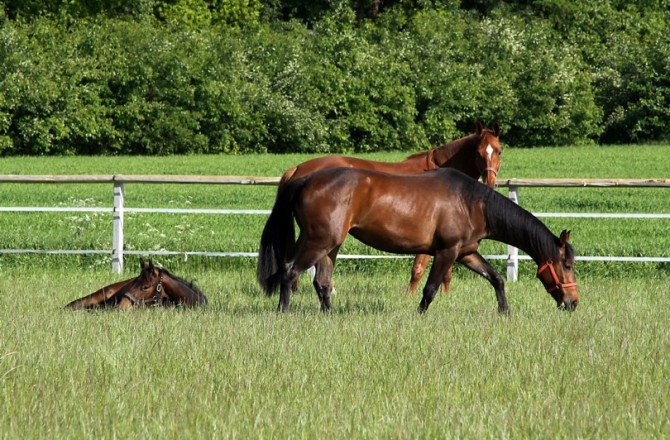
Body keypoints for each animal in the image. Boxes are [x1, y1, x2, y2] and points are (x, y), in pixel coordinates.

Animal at [260, 167, 580, 314]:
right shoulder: (447, 252)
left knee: (322, 283)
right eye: (566, 264)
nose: (573, 302)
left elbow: (496, 278)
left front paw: (505, 312)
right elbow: (430, 288)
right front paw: (419, 315)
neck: (472, 202)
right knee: (289, 271)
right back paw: (283, 312)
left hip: (330, 245)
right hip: (317, 242)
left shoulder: (465, 253)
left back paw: (328, 315)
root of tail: (304, 180)